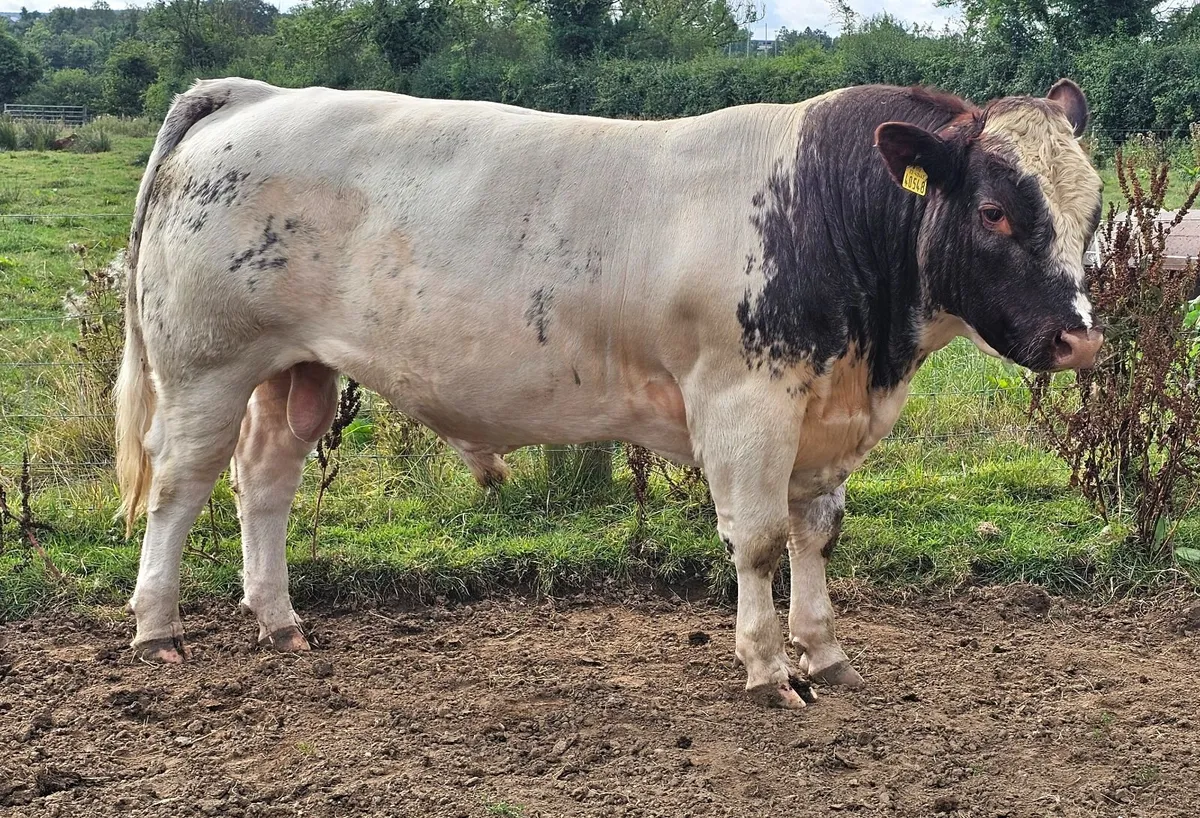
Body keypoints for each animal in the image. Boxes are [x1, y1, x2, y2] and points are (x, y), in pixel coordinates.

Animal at [115, 77, 1103, 709]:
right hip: (205, 364)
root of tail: (254, 94)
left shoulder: (825, 413)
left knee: (264, 479)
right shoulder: (745, 406)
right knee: (180, 486)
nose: (1080, 336)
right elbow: (759, 543)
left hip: (298, 368)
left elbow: (817, 535)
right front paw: (768, 669)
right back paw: (158, 629)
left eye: (1089, 211)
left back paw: (279, 620)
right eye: (994, 211)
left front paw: (825, 654)